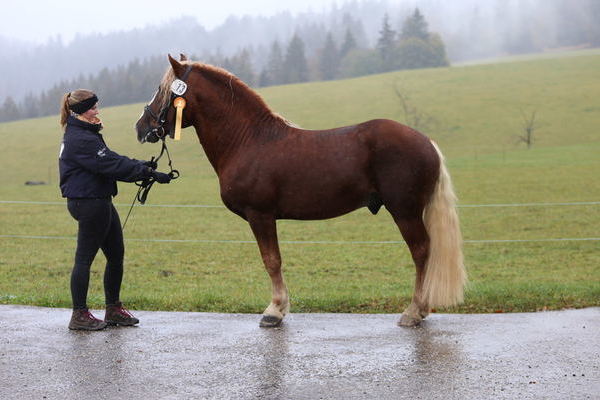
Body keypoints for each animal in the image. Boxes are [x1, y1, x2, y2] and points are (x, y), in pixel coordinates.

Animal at [137, 54, 468, 328]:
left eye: (162, 90)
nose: (140, 127)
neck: (248, 140)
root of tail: (427, 142)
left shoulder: (260, 215)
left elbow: (271, 260)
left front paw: (274, 311)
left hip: (405, 211)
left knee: (421, 252)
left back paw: (414, 311)